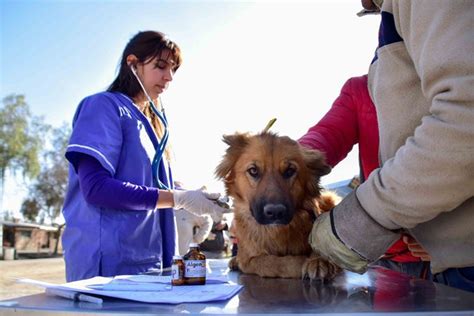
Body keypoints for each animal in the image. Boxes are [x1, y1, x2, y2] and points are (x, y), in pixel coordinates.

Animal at [215, 132, 340, 280]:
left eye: (290, 171)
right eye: (253, 170)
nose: (275, 212)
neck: (276, 231)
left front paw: (319, 260)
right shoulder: (250, 260)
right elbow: (273, 263)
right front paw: (302, 262)